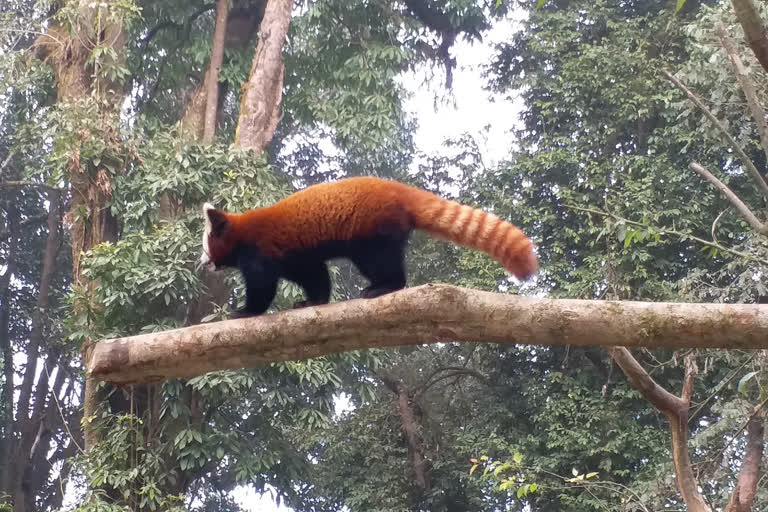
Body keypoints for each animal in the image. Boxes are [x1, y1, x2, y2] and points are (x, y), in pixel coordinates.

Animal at [202, 178, 540, 318]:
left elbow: (262, 285)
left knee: (381, 263)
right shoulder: (295, 256)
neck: (241, 231)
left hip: (371, 233)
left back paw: (383, 287)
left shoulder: (259, 251)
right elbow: (314, 275)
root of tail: (397, 189)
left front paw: (246, 311)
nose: (202, 262)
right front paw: (313, 301)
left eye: (205, 244)